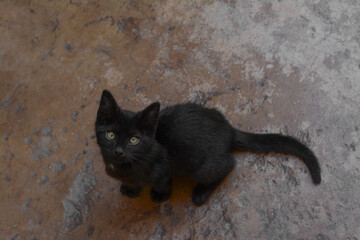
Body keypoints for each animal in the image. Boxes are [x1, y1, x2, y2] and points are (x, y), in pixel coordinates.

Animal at [95, 90, 320, 206]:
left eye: (134, 140)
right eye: (110, 135)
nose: (118, 151)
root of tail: (228, 130)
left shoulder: (162, 169)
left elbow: (162, 183)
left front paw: (160, 196)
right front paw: (130, 189)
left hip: (199, 167)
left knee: (228, 164)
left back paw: (201, 193)